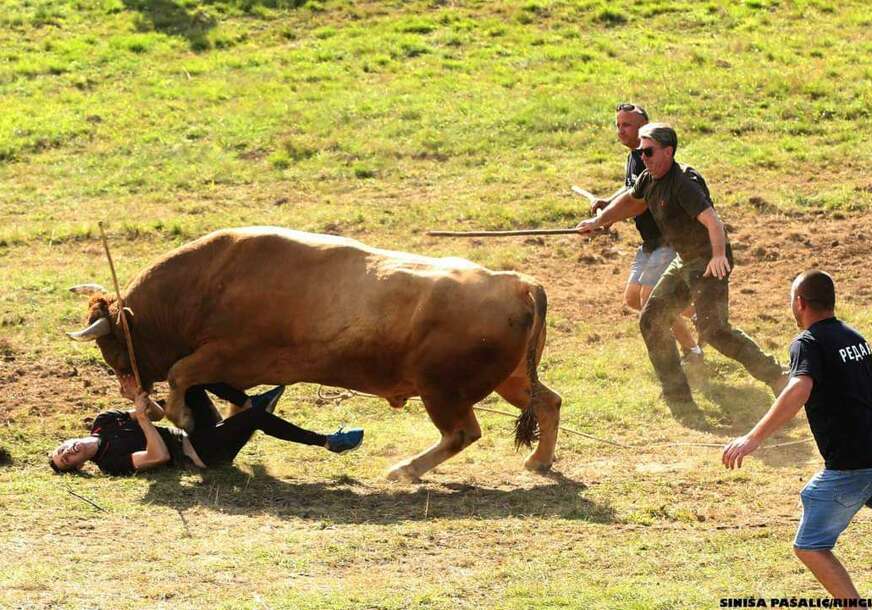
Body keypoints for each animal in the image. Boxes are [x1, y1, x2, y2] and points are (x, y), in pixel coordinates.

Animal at [66, 226, 560, 478]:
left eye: (113, 347)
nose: (132, 395)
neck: (207, 284)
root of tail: (518, 283)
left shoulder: (225, 356)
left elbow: (181, 374)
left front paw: (183, 417)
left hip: (443, 391)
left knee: (462, 433)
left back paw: (404, 470)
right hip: (511, 379)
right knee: (549, 402)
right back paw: (539, 460)